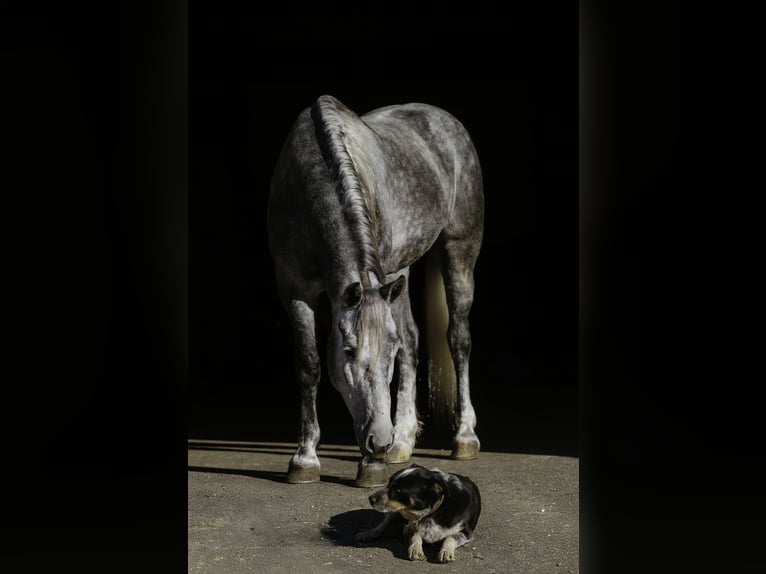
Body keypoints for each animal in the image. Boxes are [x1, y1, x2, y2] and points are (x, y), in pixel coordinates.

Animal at [267, 95, 484, 486]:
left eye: (387, 353)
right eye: (349, 350)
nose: (379, 442)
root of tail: (445, 120)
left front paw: (371, 466)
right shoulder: (293, 289)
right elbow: (309, 365)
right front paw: (304, 459)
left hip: (459, 252)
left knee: (459, 340)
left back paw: (463, 437)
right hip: (400, 274)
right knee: (412, 340)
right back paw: (403, 441)